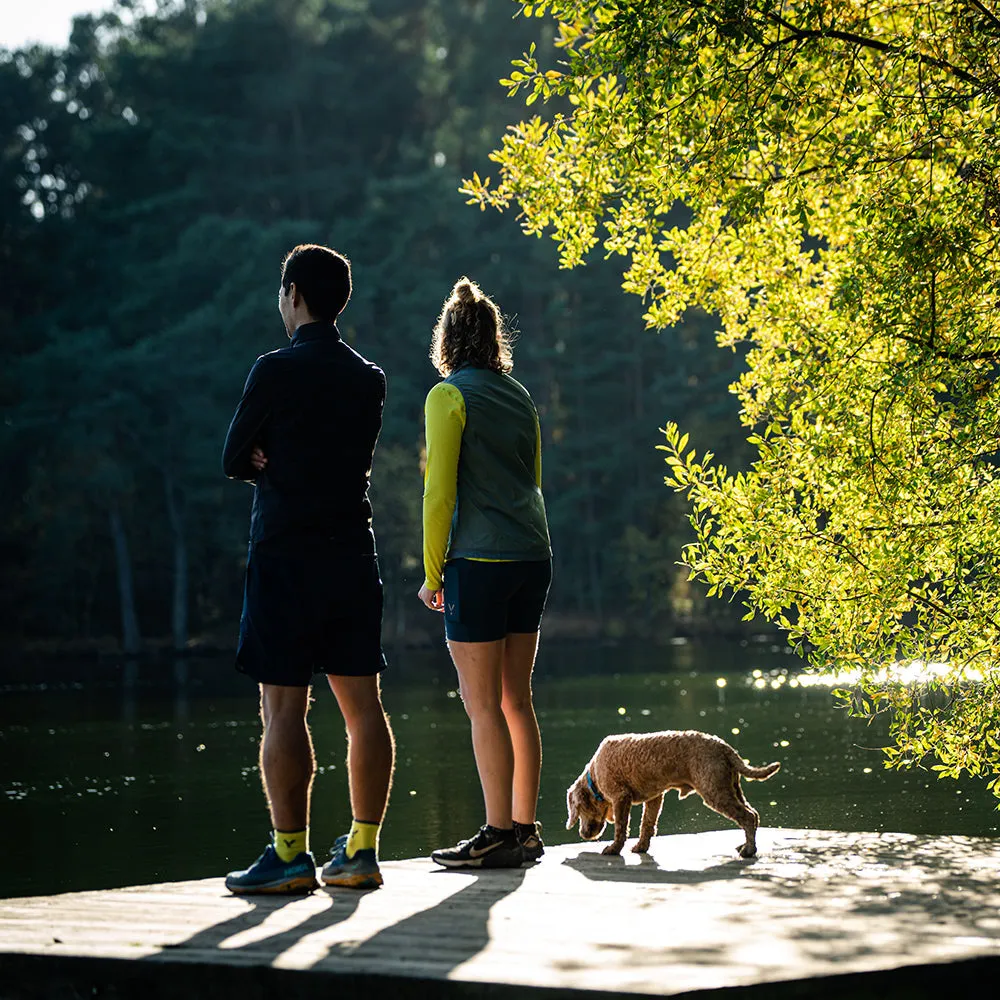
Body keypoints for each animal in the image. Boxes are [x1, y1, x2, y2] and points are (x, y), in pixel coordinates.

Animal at [568, 728, 776, 860]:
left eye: (579, 811)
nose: (583, 834)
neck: (594, 775)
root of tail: (726, 748)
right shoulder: (654, 797)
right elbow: (647, 824)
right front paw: (641, 847)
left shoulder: (620, 797)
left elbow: (621, 827)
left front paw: (613, 849)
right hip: (731, 787)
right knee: (753, 814)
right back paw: (746, 846)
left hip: (714, 790)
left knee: (747, 816)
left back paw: (748, 850)